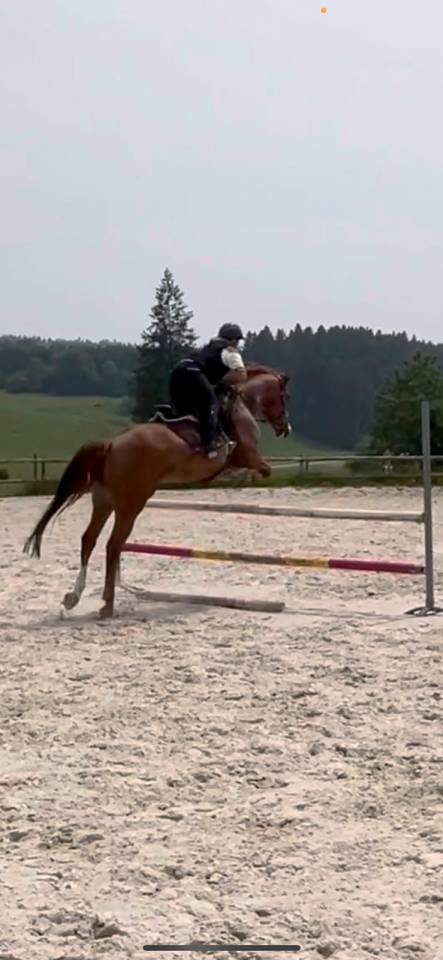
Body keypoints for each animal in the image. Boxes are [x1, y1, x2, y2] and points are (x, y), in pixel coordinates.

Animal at [24, 364, 291, 618]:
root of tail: (110, 445)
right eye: (284, 397)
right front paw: (240, 475)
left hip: (104, 501)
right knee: (113, 544)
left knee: (89, 539)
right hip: (132, 504)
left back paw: (74, 596)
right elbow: (262, 469)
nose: (285, 429)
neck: (241, 402)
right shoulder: (250, 455)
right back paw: (107, 605)